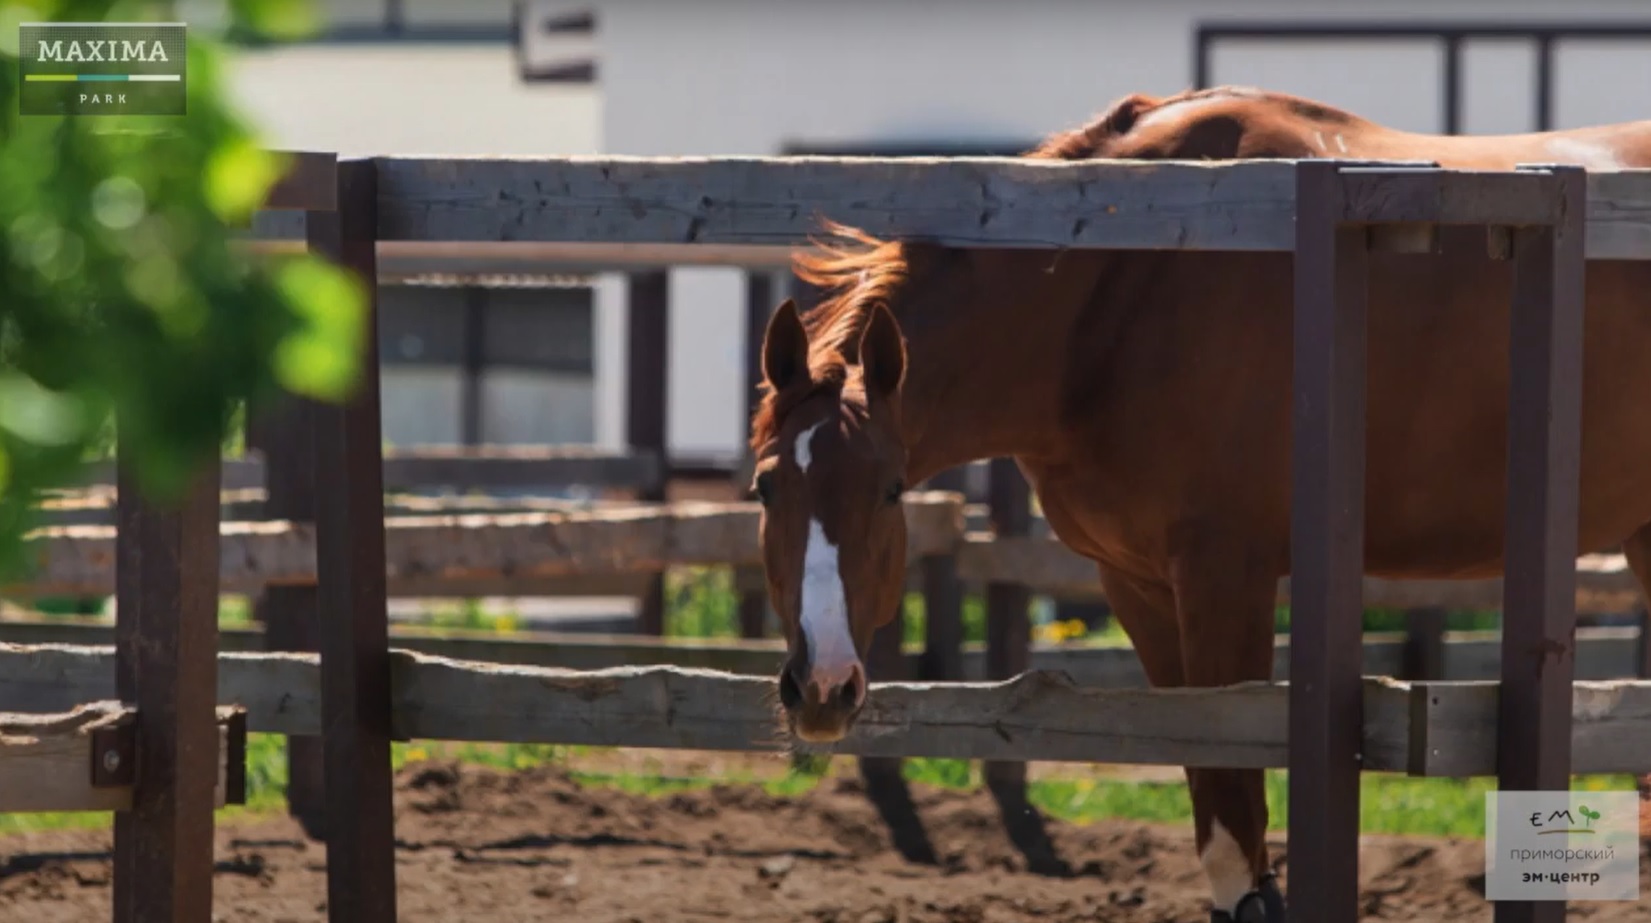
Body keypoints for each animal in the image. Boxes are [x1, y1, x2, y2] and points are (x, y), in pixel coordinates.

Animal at [749, 86, 1651, 923]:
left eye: (889, 490)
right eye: (763, 486)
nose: (821, 687)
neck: (1120, 296)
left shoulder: (1227, 579)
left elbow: (1234, 798)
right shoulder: (1138, 584)